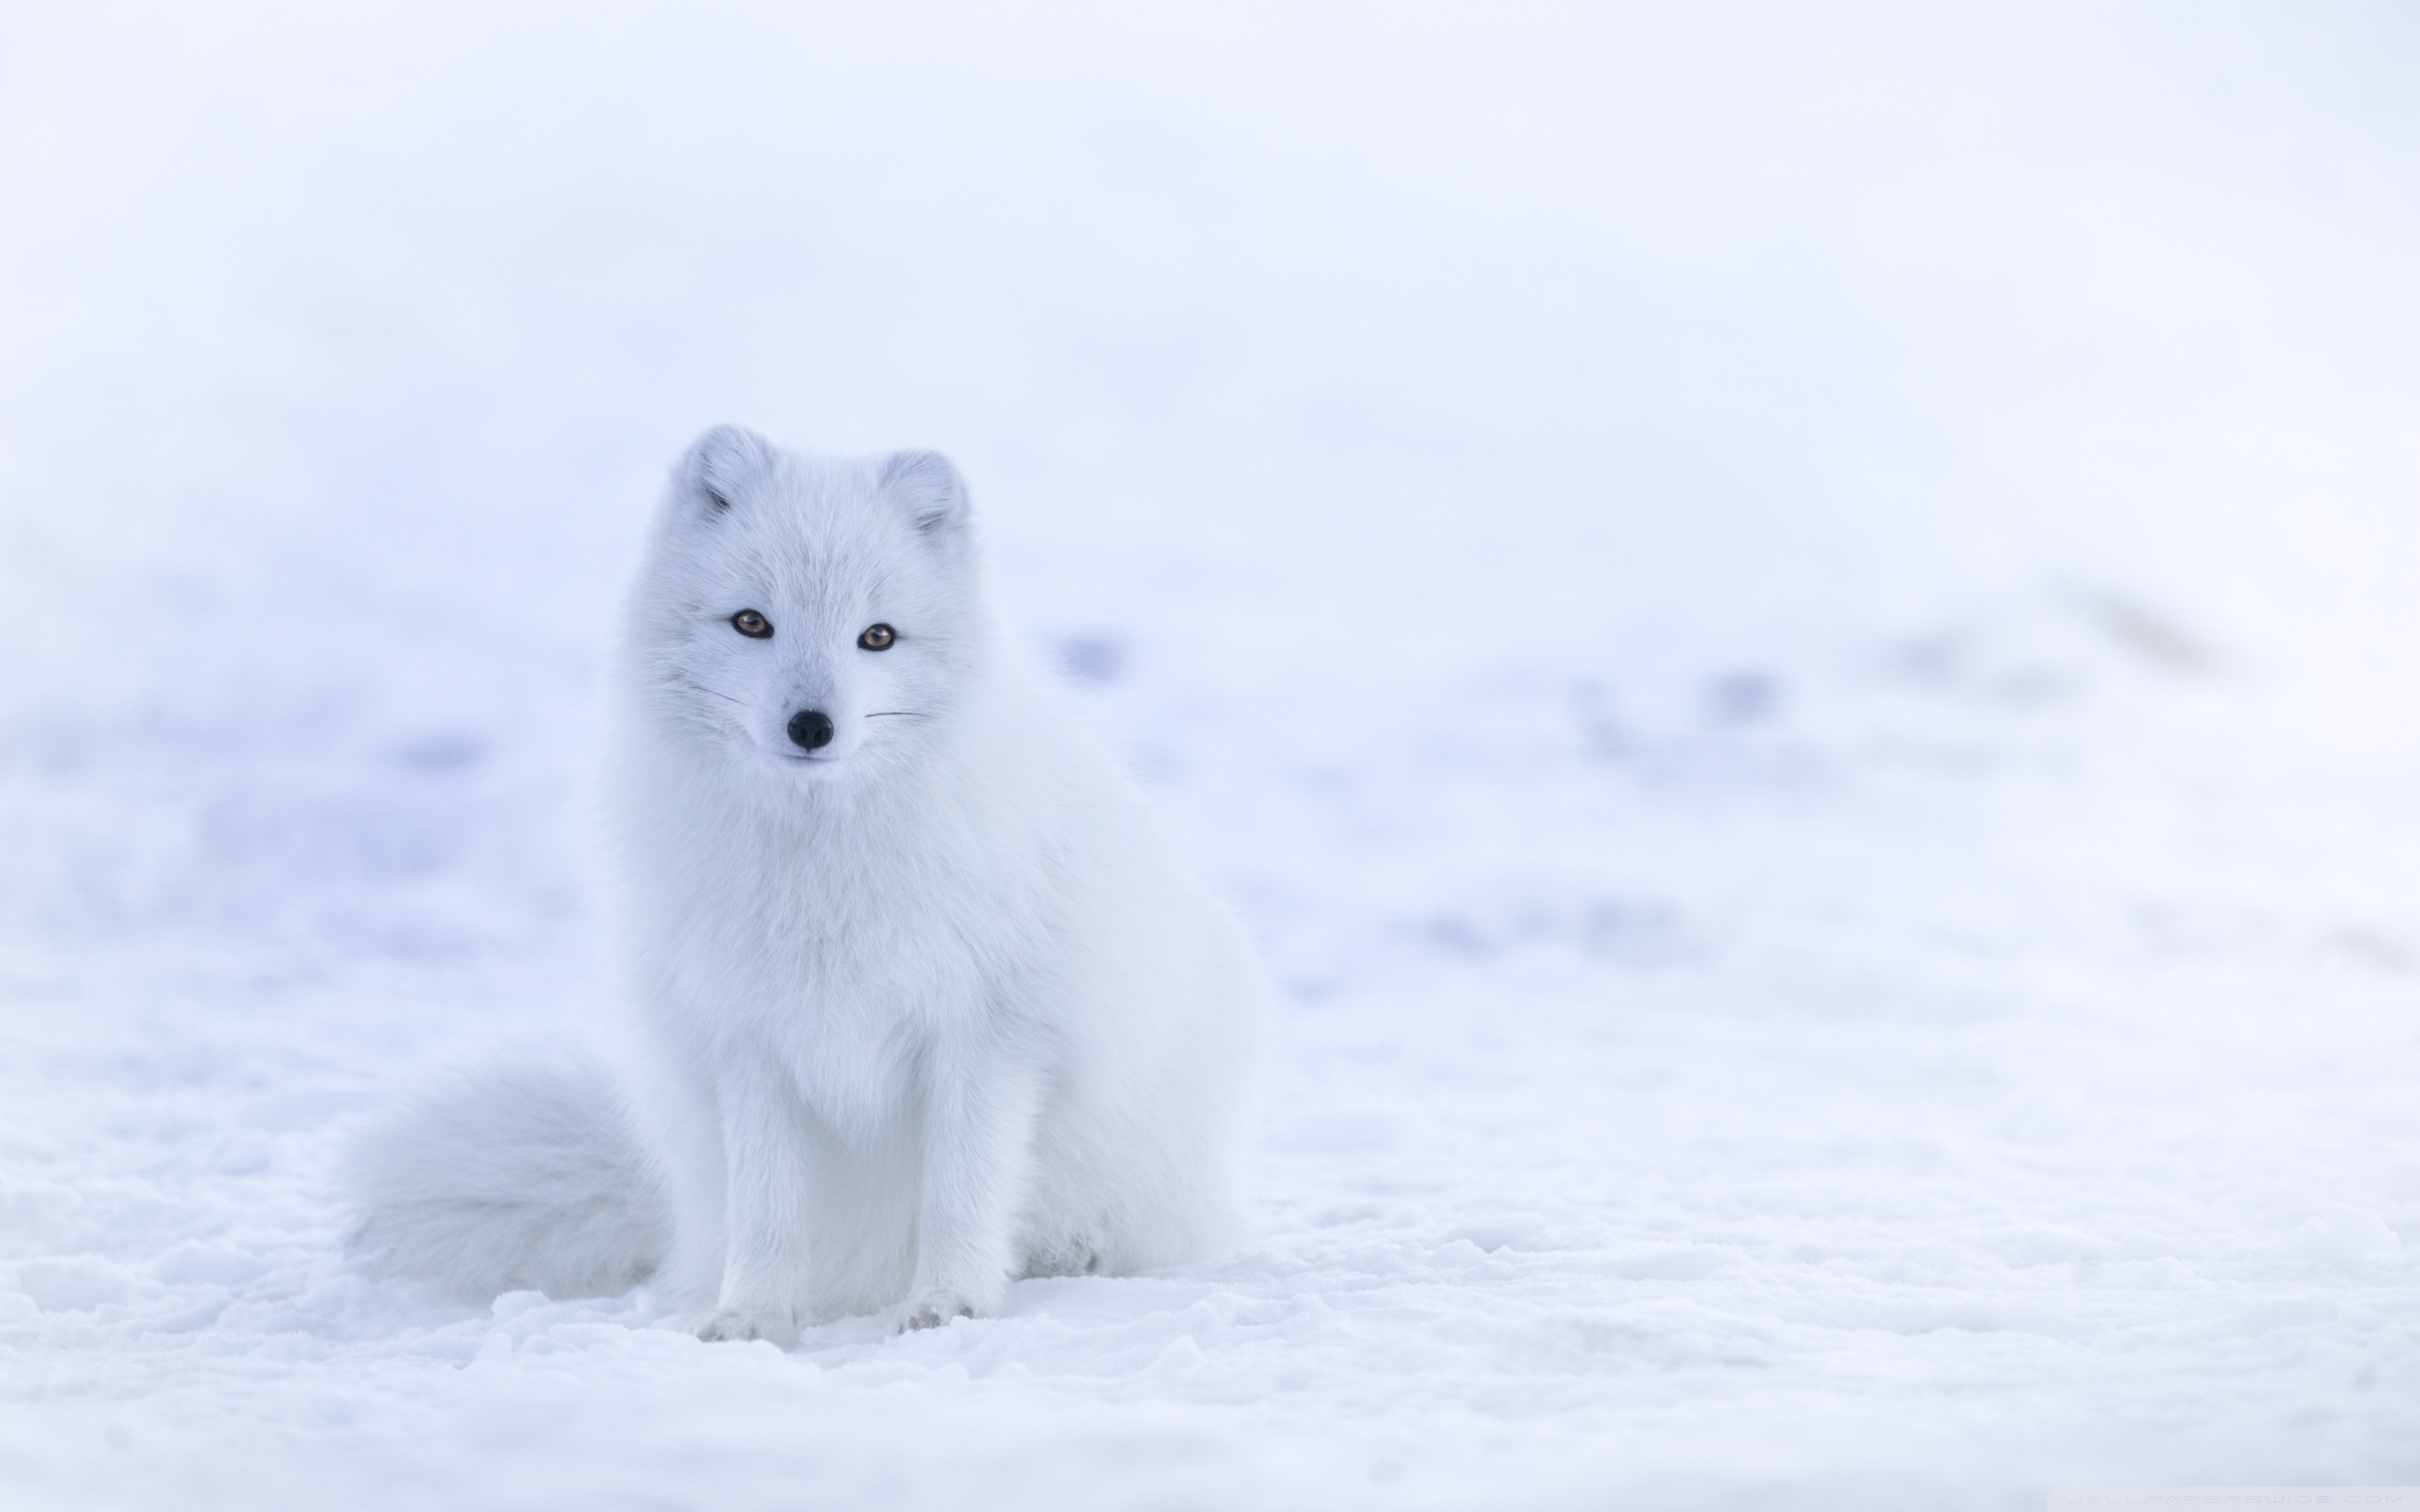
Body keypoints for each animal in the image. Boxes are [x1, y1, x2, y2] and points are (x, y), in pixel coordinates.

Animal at [348, 426, 1264, 1341]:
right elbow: (768, 1209)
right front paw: (752, 1316)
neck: (821, 867)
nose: (812, 726)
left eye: (878, 637)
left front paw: (948, 1302)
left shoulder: (988, 1034)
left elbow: (960, 1192)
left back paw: (1070, 1253)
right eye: (753, 622)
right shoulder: (750, 1041)